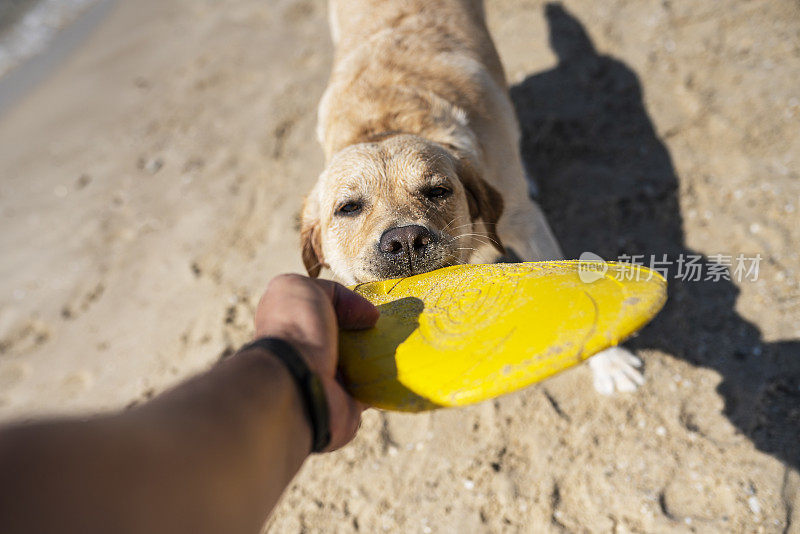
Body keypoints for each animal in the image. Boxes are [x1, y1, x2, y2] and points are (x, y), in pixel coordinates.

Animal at [300, 0, 644, 394]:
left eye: (439, 191)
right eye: (348, 208)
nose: (406, 242)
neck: (385, 123)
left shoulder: (525, 224)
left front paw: (610, 362)